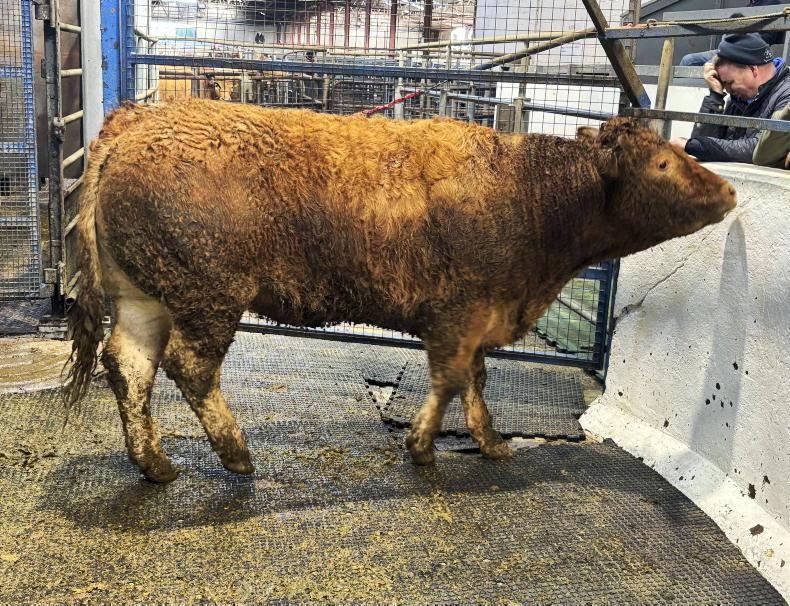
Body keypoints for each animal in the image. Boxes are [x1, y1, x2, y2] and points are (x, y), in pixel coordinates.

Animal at [63, 99, 736, 483]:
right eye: (664, 164)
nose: (730, 190)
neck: (528, 192)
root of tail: (137, 120)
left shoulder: (479, 316)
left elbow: (476, 381)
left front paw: (491, 442)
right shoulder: (457, 313)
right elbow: (450, 379)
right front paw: (421, 446)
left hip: (145, 296)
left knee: (129, 365)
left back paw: (154, 464)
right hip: (209, 295)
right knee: (189, 366)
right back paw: (236, 455)